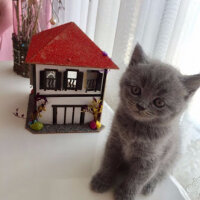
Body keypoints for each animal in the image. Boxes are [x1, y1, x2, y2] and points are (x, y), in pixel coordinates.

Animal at [90, 44, 200, 200]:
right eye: (136, 90)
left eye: (159, 102)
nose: (141, 106)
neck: (136, 128)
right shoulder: (115, 140)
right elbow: (108, 162)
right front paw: (102, 180)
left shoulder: (150, 158)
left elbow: (137, 179)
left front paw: (125, 194)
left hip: (171, 159)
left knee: (160, 174)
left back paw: (149, 186)